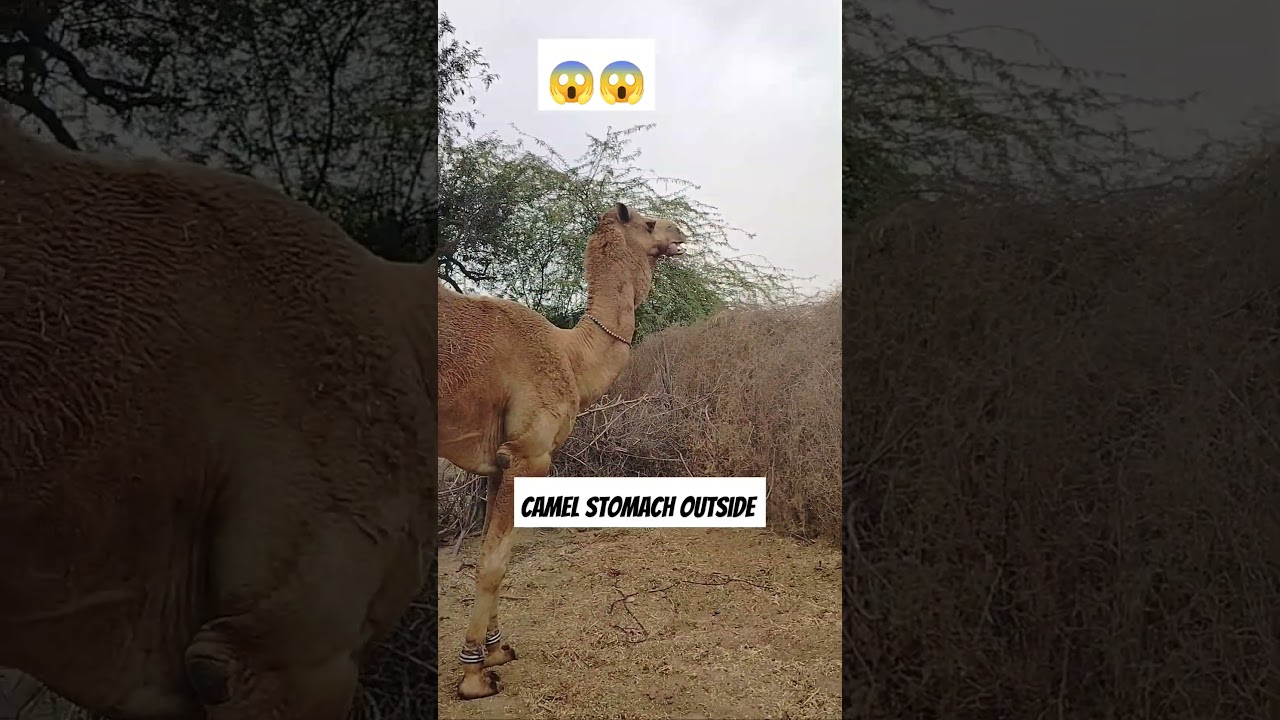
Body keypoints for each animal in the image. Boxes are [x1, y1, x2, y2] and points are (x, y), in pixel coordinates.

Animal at [438, 202, 686, 699]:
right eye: (648, 223)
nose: (680, 233)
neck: (570, 355)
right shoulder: (530, 455)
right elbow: (494, 561)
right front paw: (474, 675)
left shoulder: (498, 463)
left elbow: (493, 552)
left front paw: (497, 650)